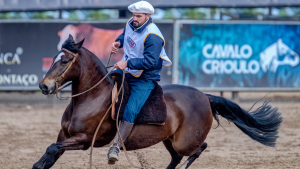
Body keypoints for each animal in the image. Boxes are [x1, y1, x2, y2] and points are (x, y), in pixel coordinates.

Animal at [34, 35, 282, 168]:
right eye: (54, 57)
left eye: (64, 60)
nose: (44, 86)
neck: (91, 98)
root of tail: (205, 97)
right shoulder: (65, 135)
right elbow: (51, 152)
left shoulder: (84, 139)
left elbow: (51, 148)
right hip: (169, 140)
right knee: (176, 157)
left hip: (185, 141)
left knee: (198, 149)